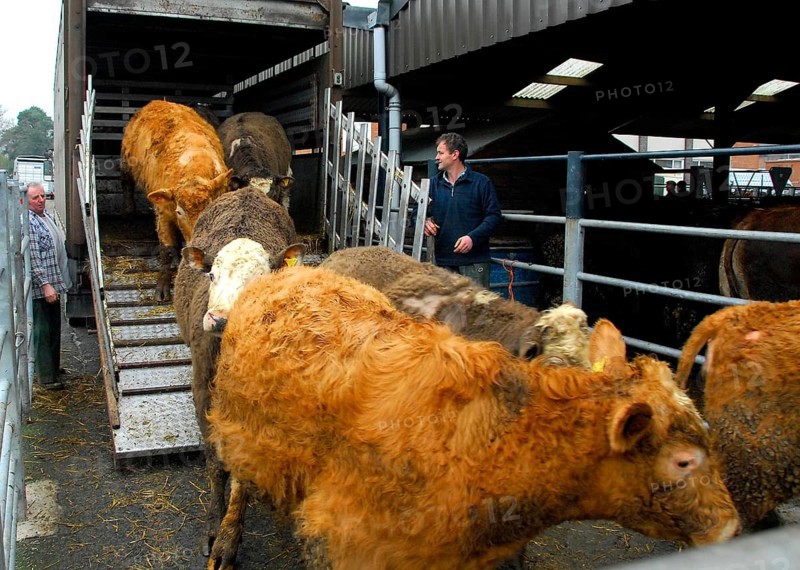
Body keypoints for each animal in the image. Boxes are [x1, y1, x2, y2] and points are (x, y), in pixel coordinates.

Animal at [120, 99, 232, 301]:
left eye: (210, 208)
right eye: (180, 212)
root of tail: (155, 101)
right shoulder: (162, 212)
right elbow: (167, 249)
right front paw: (161, 293)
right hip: (125, 159)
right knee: (126, 183)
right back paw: (128, 214)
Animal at [173, 186, 304, 561]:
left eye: (259, 281)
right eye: (212, 275)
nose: (219, 320)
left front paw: (229, 538)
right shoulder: (202, 389)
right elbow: (215, 461)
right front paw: (214, 527)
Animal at [206, 265, 740, 570]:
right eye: (683, 461)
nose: (731, 529)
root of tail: (291, 273)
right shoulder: (343, 540)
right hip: (238, 427)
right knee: (237, 482)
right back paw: (225, 543)